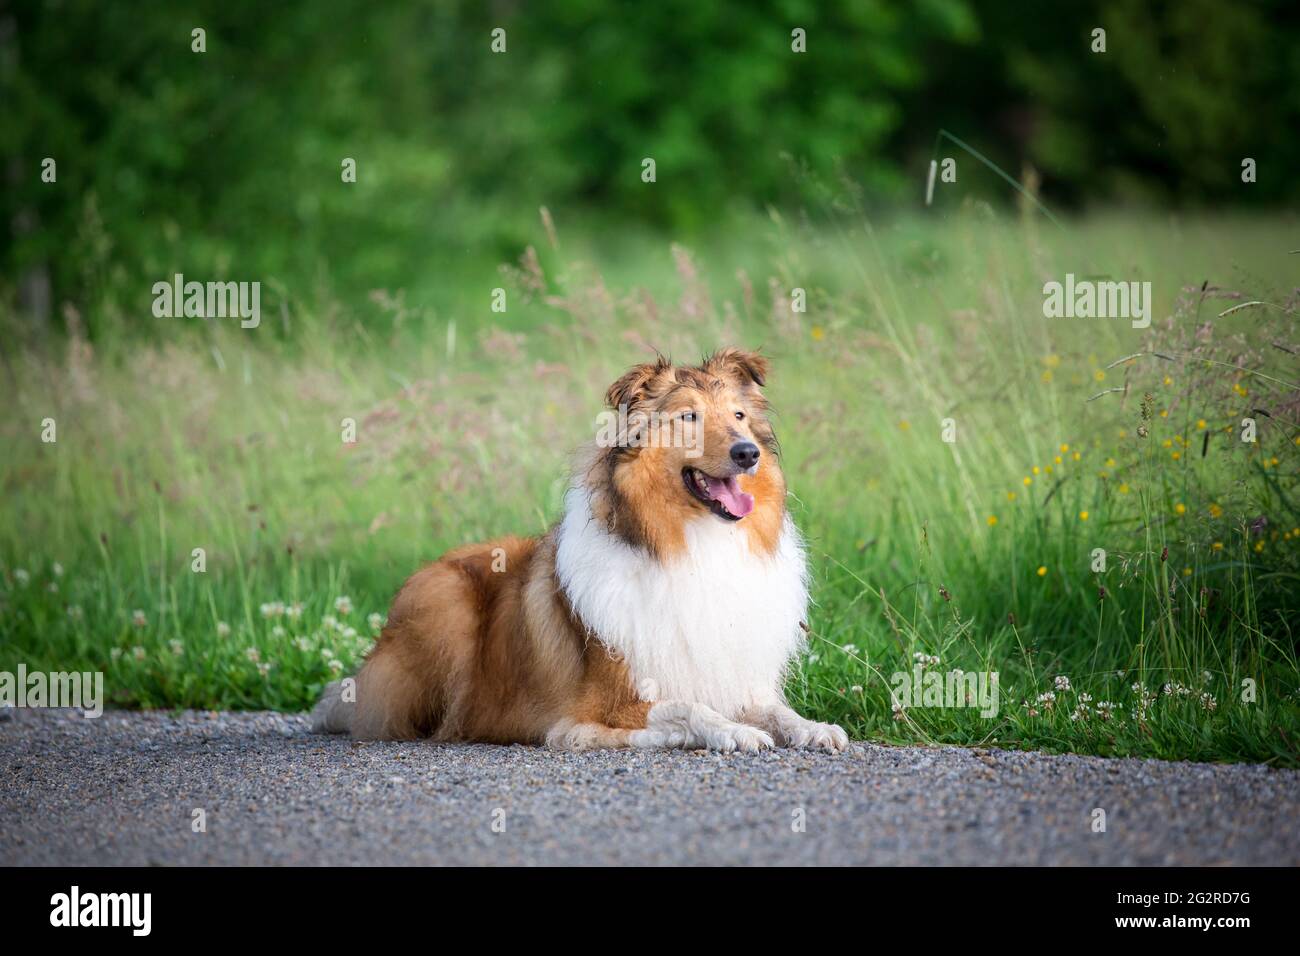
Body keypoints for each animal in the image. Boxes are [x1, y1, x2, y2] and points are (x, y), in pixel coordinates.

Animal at [310, 348, 847, 749]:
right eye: (689, 417)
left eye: (738, 415)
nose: (747, 453)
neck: (689, 543)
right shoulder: (604, 704)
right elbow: (690, 706)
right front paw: (734, 732)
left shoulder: (738, 679)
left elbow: (775, 709)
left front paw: (816, 728)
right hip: (445, 602)